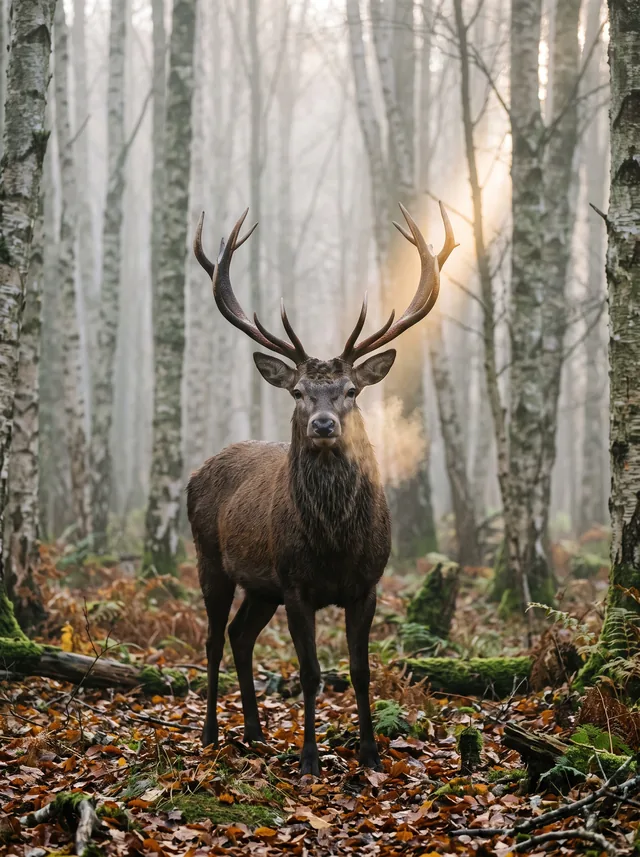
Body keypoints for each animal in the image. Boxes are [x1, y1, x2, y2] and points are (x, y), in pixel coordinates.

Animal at [188, 202, 455, 775]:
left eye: (351, 389)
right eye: (298, 391)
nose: (325, 424)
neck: (333, 544)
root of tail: (196, 473)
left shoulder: (367, 583)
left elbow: (359, 670)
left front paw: (371, 754)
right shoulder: (296, 584)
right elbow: (310, 672)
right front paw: (310, 757)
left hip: (260, 585)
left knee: (240, 635)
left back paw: (255, 732)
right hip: (210, 559)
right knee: (214, 639)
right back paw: (212, 732)